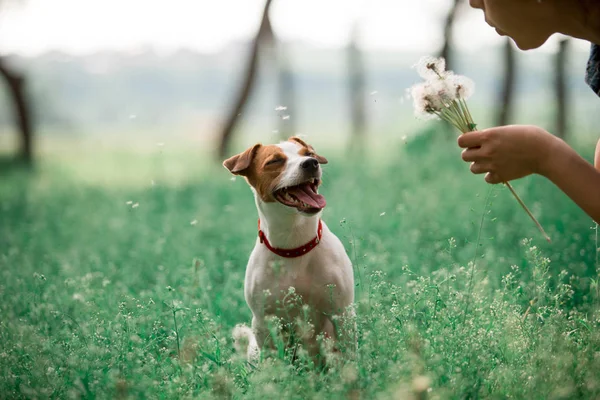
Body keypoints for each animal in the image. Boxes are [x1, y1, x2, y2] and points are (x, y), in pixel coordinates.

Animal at [225, 137, 356, 362]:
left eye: (309, 154)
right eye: (274, 161)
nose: (311, 163)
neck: (294, 246)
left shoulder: (342, 312)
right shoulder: (263, 322)